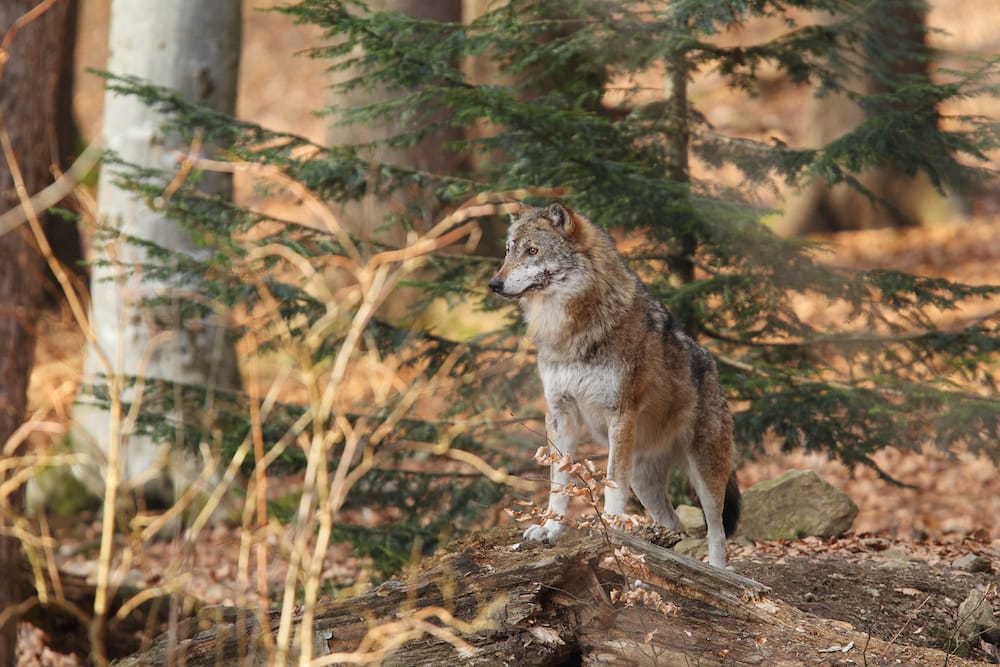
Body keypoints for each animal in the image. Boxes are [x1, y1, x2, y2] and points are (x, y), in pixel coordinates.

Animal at [488, 200, 740, 568]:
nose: (494, 283)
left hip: (704, 476)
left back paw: (718, 574)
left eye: (532, 250)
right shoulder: (560, 413)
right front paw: (549, 529)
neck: (570, 330)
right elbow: (558, 481)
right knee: (671, 526)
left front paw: (608, 527)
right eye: (508, 251)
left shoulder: (620, 415)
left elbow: (610, 483)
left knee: (717, 534)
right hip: (644, 480)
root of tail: (714, 369)